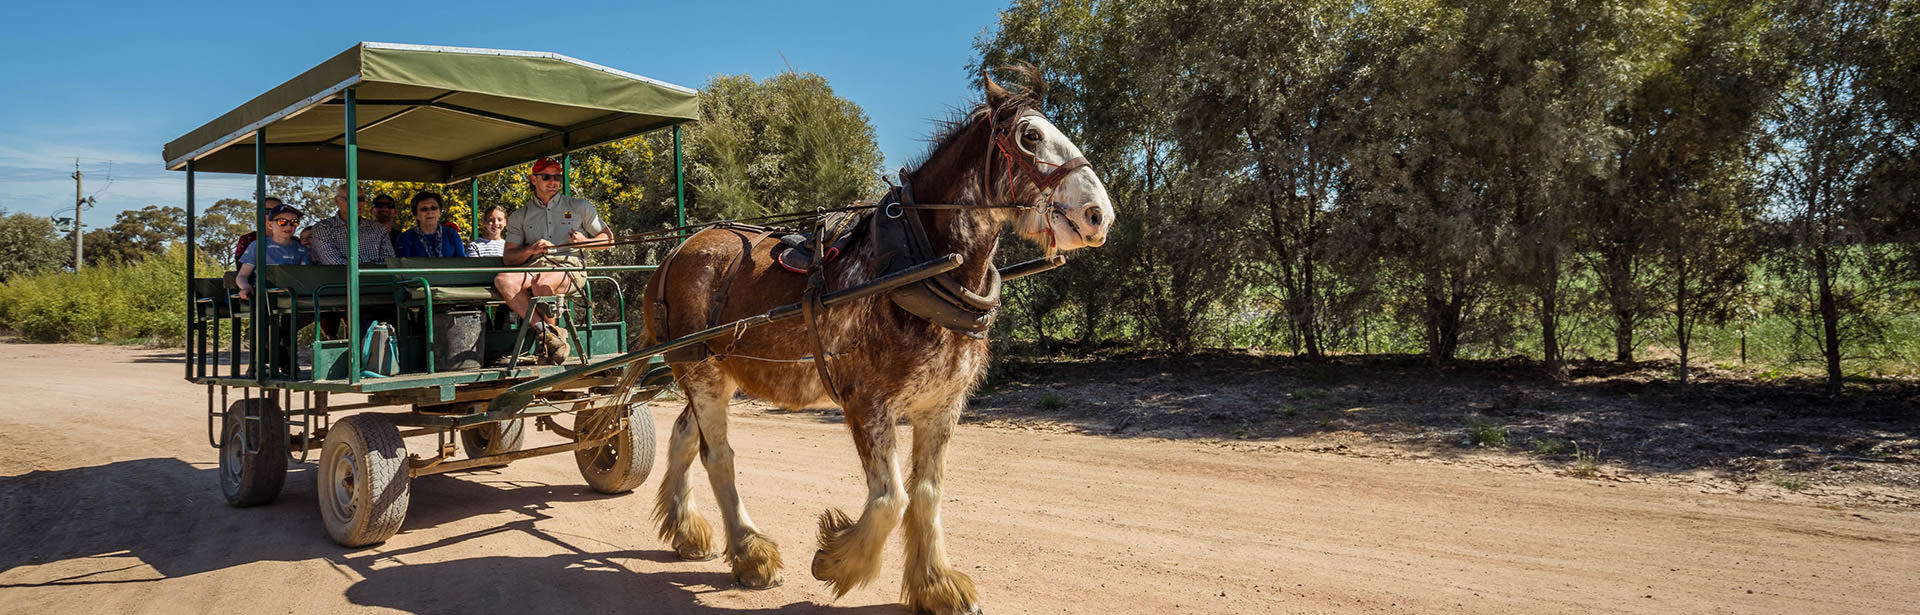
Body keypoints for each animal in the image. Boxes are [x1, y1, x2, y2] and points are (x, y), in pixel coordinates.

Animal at [645, 67, 1121, 615]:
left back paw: (686, 530)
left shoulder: (942, 405)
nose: (1100, 215)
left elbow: (927, 493)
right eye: (1031, 137)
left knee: (685, 434)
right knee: (719, 456)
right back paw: (750, 553)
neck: (919, 265)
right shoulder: (867, 403)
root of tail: (676, 252)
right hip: (700, 371)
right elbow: (891, 499)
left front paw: (936, 585)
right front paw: (837, 561)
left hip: (714, 373)